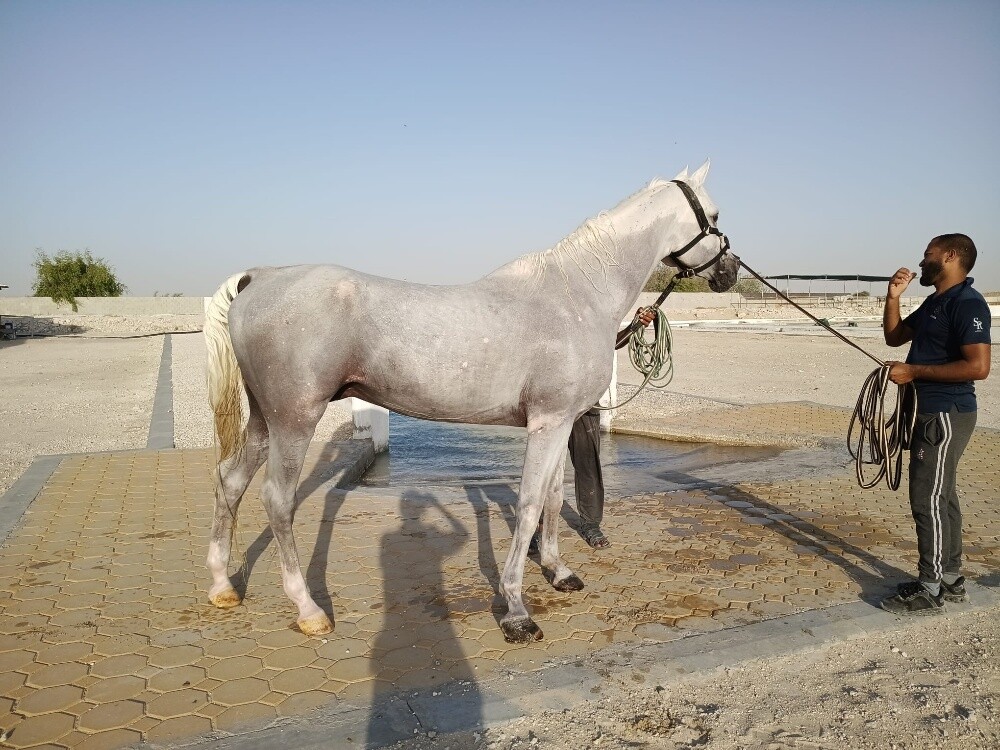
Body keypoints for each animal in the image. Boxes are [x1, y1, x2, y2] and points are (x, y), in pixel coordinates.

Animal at [204, 161, 739, 643]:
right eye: (713, 214)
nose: (730, 271)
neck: (576, 296)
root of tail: (259, 277)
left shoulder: (560, 423)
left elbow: (550, 497)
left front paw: (559, 571)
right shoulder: (549, 422)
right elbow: (528, 504)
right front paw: (516, 610)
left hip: (265, 420)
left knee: (231, 480)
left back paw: (222, 586)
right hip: (295, 420)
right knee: (277, 500)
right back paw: (309, 610)